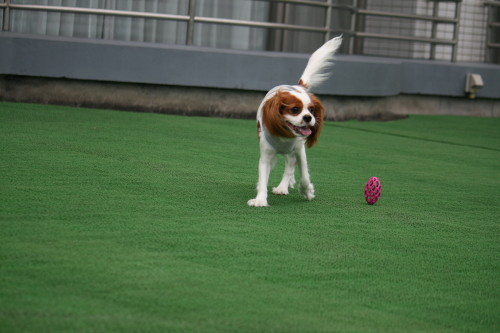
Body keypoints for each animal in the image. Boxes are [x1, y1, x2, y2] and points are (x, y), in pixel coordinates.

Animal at [248, 37, 342, 208]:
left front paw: (307, 191)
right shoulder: (266, 154)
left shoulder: (299, 149)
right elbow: (264, 175)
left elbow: (304, 174)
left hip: (293, 151)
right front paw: (260, 199)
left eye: (311, 110)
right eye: (295, 109)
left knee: (290, 165)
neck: (285, 134)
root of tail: (298, 85)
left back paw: (284, 186)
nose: (308, 118)